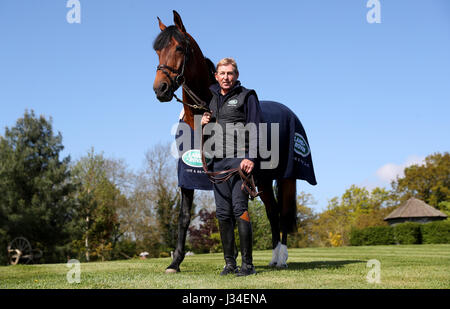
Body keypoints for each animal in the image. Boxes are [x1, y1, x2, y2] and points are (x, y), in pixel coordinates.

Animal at [152, 11, 316, 272]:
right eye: (157, 50)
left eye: (178, 47)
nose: (161, 89)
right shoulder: (189, 176)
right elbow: (184, 217)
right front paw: (175, 263)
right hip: (262, 179)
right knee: (272, 211)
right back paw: (274, 257)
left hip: (284, 176)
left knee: (280, 212)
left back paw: (280, 258)